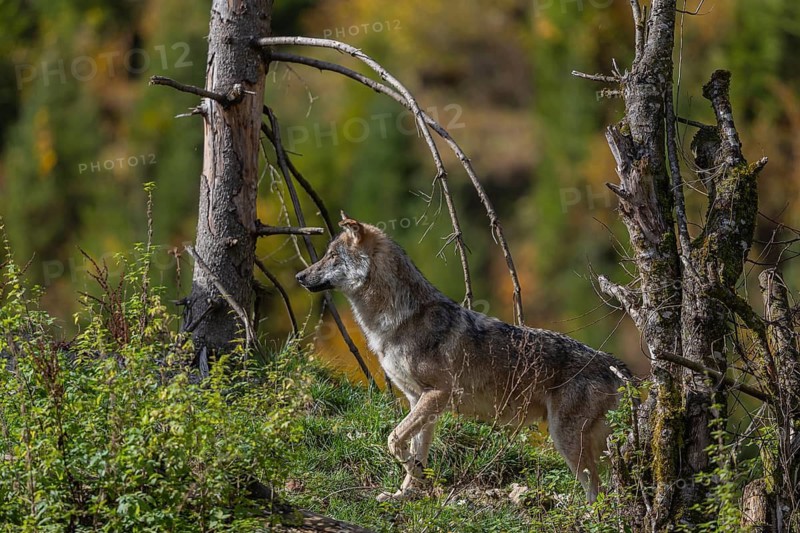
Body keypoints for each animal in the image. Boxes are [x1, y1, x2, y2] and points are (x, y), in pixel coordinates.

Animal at [296, 213, 630, 503]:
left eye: (332, 256)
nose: (299, 276)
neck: (399, 320)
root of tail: (614, 365)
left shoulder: (437, 394)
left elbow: (393, 440)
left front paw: (413, 473)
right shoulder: (418, 401)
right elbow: (413, 448)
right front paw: (403, 494)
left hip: (567, 440)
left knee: (597, 490)